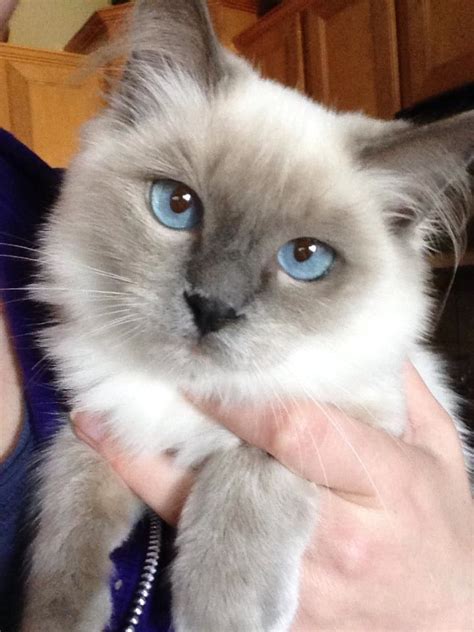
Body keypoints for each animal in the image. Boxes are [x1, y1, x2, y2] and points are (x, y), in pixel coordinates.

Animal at [23, 1, 474, 632]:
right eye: (176, 205)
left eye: (305, 258)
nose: (212, 308)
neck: (180, 393)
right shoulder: (103, 416)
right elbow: (69, 518)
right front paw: (57, 616)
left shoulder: (344, 419)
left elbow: (245, 472)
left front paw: (217, 614)